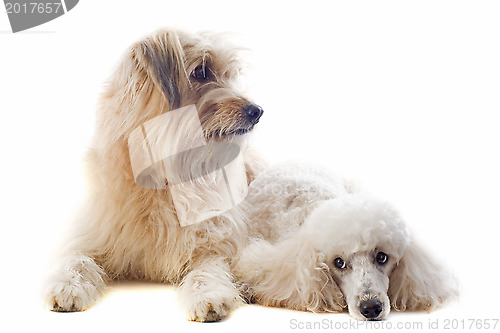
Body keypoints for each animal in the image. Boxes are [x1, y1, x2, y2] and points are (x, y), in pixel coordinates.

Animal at [44, 29, 266, 320]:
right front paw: (66, 285)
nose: (257, 111)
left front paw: (209, 295)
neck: (163, 178)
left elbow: (209, 269)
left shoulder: (215, 243)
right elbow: (76, 259)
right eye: (201, 72)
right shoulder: (89, 235)